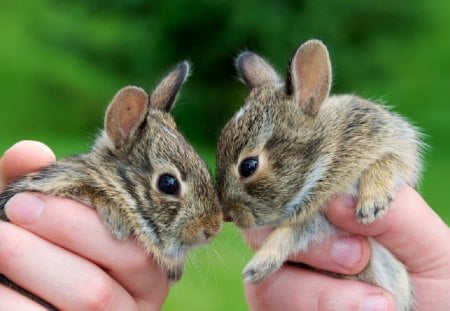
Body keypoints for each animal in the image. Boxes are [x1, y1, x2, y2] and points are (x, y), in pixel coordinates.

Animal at [216, 39, 424, 311]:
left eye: (248, 166)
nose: (228, 215)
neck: (326, 156)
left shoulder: (394, 143)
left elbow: (386, 162)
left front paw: (372, 205)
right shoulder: (313, 220)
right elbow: (290, 233)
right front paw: (258, 268)